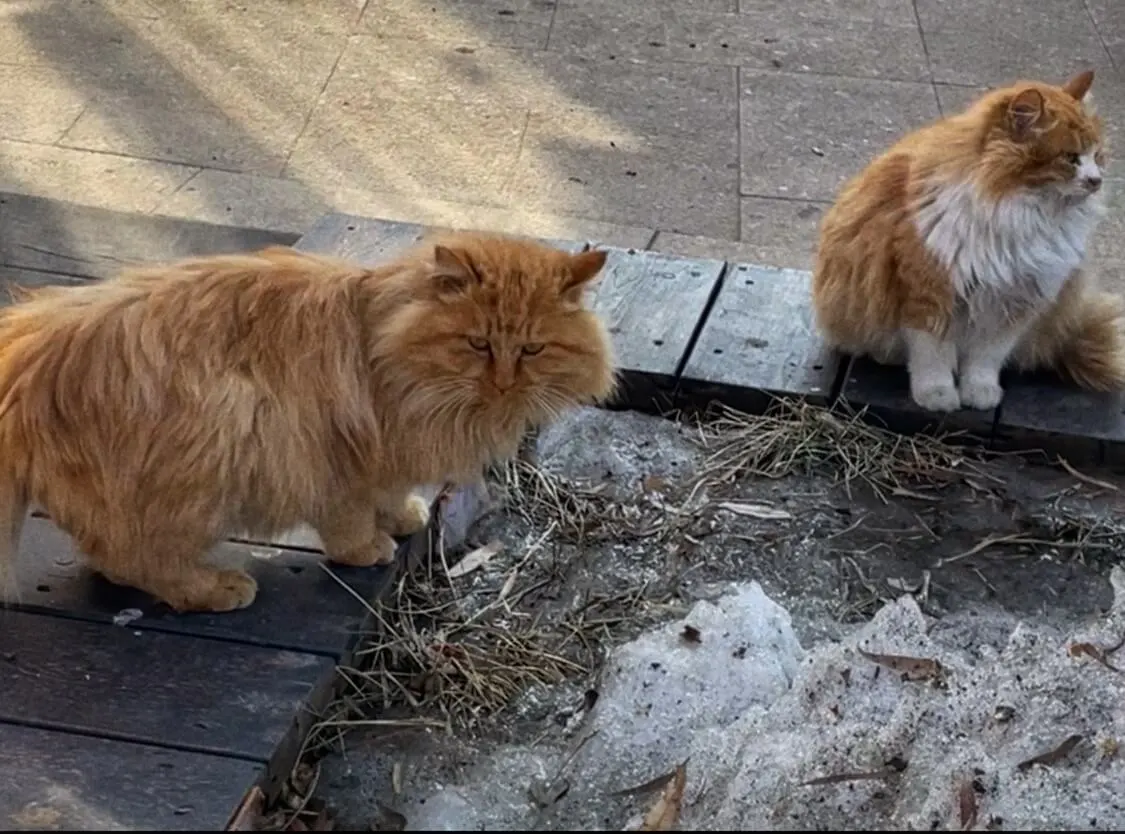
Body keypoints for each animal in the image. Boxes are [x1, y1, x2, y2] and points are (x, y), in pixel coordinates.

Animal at [0, 234, 617, 612]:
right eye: (478, 344)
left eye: (533, 349)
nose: (504, 383)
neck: (382, 343)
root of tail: (22, 371)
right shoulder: (337, 453)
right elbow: (347, 519)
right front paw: (367, 546)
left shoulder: (383, 457)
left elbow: (391, 493)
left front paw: (401, 517)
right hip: (217, 437)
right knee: (130, 556)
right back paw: (217, 587)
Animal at [812, 69, 1125, 412]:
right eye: (1070, 158)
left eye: (1097, 155)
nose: (1096, 181)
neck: (1020, 217)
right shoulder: (927, 297)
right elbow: (932, 358)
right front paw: (937, 396)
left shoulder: (1014, 306)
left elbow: (984, 362)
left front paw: (979, 394)